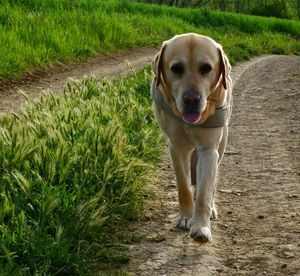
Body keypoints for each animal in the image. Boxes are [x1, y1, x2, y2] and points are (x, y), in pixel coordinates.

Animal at [150, 33, 232, 243]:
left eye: (206, 68)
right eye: (176, 68)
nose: (192, 99)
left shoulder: (209, 150)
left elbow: (204, 191)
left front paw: (201, 226)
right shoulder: (177, 147)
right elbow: (183, 186)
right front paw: (187, 217)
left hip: (221, 146)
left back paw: (212, 209)